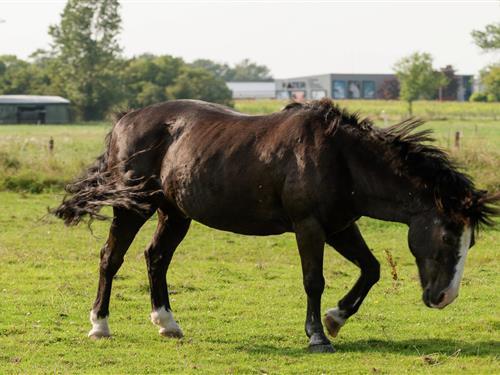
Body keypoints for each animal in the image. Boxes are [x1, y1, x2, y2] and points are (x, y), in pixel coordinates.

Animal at [52, 99, 498, 352]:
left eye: (471, 243)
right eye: (447, 234)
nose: (444, 297)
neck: (342, 158)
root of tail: (125, 119)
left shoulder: (340, 226)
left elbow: (370, 270)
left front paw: (337, 318)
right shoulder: (310, 226)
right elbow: (313, 280)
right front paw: (318, 336)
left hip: (175, 213)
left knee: (155, 258)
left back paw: (167, 324)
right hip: (133, 207)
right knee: (110, 258)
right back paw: (99, 326)